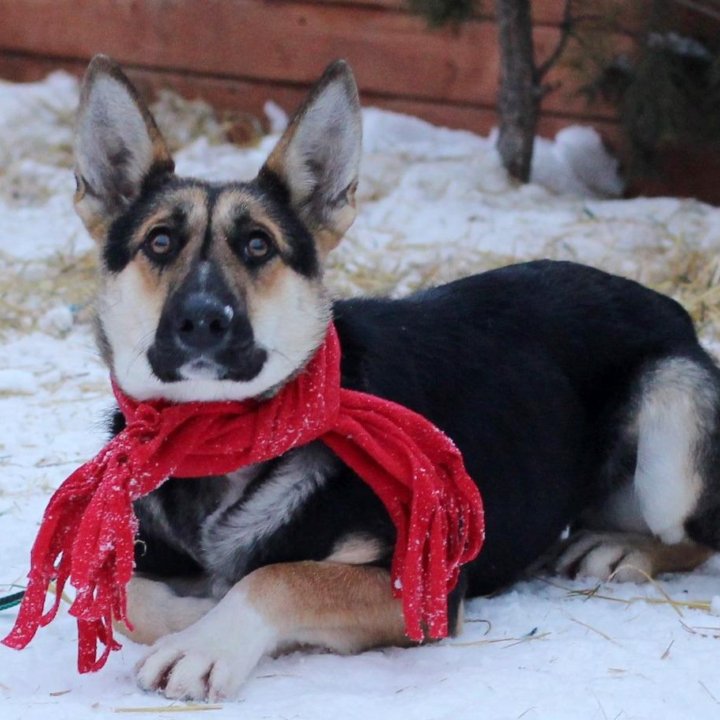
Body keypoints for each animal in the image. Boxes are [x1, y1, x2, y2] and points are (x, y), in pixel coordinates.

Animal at [73, 57, 720, 704]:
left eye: (258, 244)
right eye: (160, 241)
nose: (203, 319)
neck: (220, 439)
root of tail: (671, 308)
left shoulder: (422, 587)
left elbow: (281, 577)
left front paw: (204, 639)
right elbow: (124, 593)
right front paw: (186, 614)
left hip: (672, 421)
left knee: (693, 534)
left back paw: (619, 546)